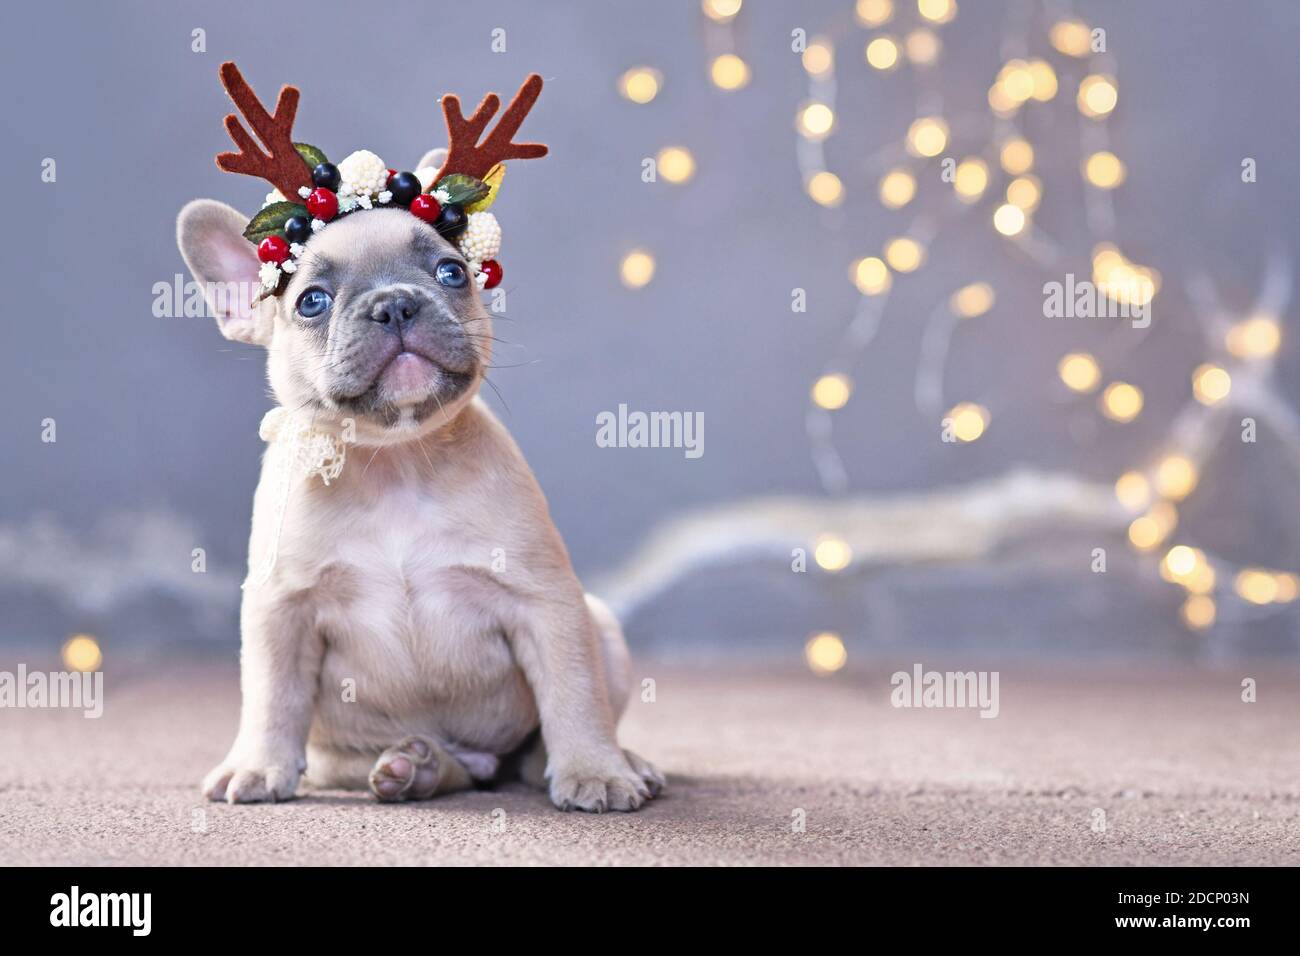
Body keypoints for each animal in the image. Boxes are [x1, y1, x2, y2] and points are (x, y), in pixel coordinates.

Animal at [175, 151, 660, 816]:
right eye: (311, 302)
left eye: (452, 272)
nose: (395, 303)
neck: (397, 463)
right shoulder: (281, 607)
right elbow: (272, 694)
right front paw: (256, 764)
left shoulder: (546, 601)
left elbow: (573, 691)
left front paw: (596, 770)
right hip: (343, 755)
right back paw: (417, 767)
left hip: (601, 626)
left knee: (538, 747)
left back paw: (614, 761)